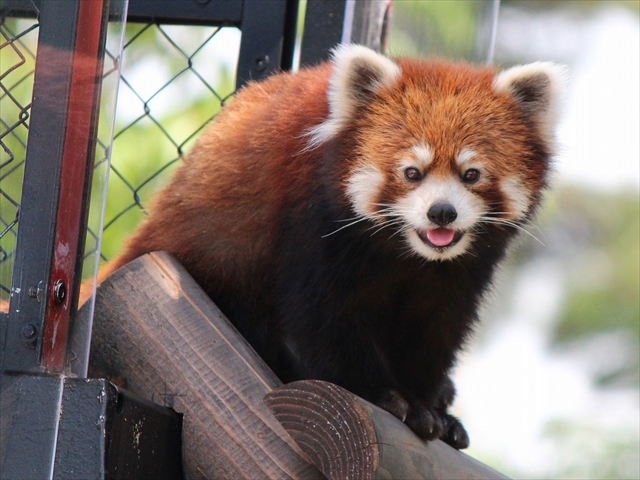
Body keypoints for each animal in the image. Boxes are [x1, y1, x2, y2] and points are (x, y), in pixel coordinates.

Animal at [100, 46, 564, 450]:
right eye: (412, 172)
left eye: (471, 174)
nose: (442, 213)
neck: (407, 253)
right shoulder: (312, 220)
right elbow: (325, 317)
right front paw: (386, 396)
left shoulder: (458, 271)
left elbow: (436, 327)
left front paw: (429, 406)